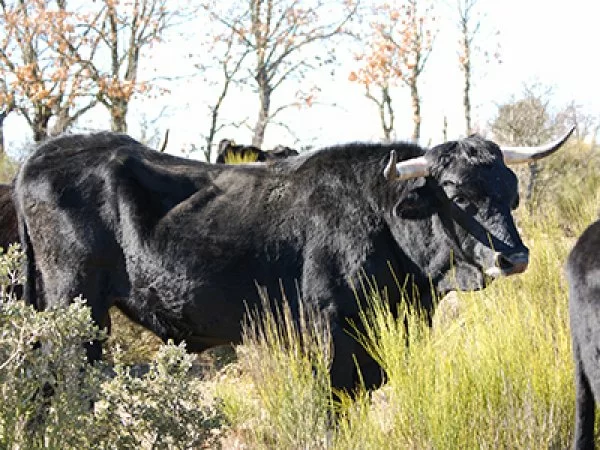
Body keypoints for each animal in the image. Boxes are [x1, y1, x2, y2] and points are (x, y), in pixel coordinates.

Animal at [14, 125, 576, 390]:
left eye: (511, 193)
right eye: (458, 195)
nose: (515, 258)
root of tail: (40, 156)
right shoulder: (331, 333)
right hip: (73, 308)